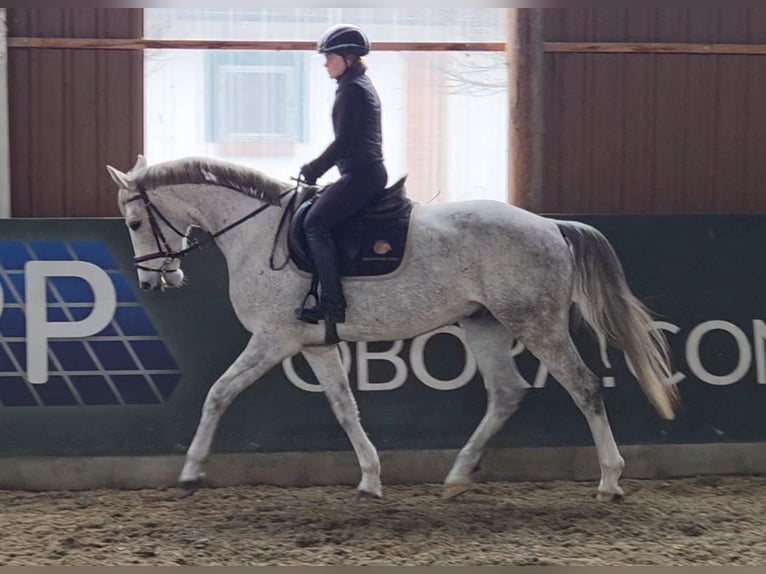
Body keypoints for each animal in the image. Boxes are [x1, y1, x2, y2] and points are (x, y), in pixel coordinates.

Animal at [106, 154, 679, 501]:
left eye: (134, 223)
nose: (156, 281)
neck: (257, 233)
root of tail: (551, 226)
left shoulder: (273, 339)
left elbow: (218, 394)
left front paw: (189, 473)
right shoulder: (313, 345)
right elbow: (344, 407)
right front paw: (369, 479)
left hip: (535, 322)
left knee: (584, 387)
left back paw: (609, 482)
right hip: (485, 324)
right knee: (506, 393)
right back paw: (456, 477)